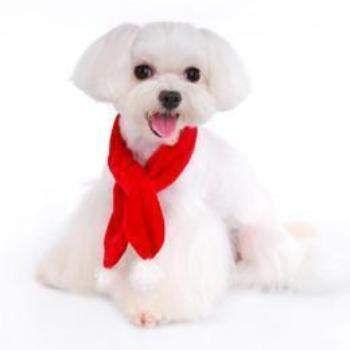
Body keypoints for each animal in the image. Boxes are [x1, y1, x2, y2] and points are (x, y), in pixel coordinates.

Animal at [37, 22, 318, 326]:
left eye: (193, 74)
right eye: (142, 71)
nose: (171, 96)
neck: (149, 161)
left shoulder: (180, 219)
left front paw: (151, 306)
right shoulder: (113, 200)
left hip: (254, 235)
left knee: (267, 270)